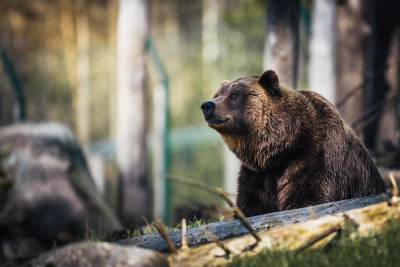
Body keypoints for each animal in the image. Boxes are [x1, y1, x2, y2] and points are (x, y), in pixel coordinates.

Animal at [202, 70, 386, 218]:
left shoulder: (315, 157)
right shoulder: (257, 174)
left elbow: (307, 198)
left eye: (234, 95)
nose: (207, 105)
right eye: (217, 94)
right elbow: (250, 205)